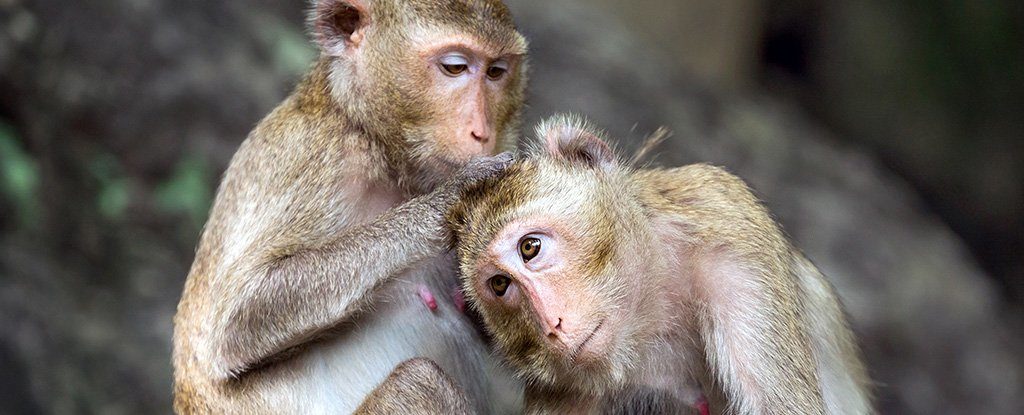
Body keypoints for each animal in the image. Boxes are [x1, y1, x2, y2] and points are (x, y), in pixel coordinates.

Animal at [172, 0, 528, 413]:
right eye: (454, 66)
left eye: (496, 72)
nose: (481, 132)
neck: (377, 147)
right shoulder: (312, 156)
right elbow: (234, 321)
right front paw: (452, 200)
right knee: (419, 379)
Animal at [449, 115, 874, 414]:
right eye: (500, 285)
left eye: (530, 248)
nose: (552, 324)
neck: (652, 313)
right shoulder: (563, 393)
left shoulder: (733, 241)